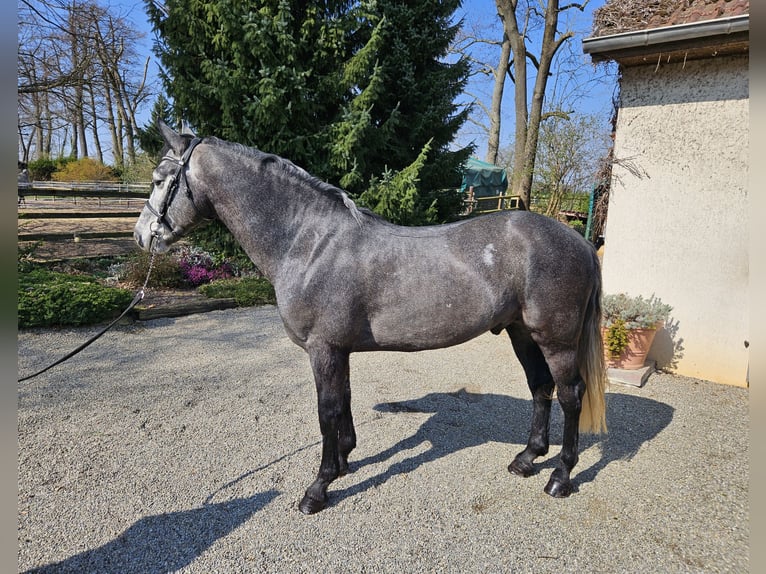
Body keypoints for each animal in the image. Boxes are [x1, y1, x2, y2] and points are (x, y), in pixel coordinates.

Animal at [134, 121, 608, 514]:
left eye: (159, 180)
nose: (142, 237)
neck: (309, 242)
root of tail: (580, 242)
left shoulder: (323, 348)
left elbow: (326, 410)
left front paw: (318, 488)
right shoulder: (337, 349)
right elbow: (342, 402)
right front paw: (344, 460)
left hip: (556, 340)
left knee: (570, 395)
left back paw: (560, 476)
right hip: (521, 333)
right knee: (540, 387)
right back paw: (527, 459)